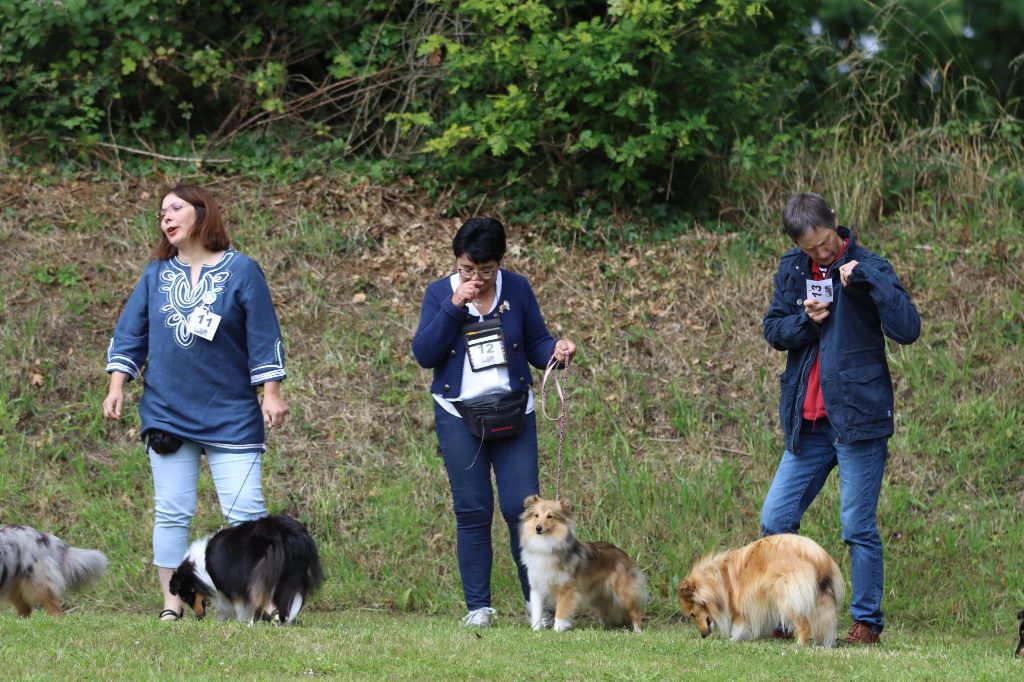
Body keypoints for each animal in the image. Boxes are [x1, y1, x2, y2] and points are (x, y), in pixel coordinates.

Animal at [166, 516, 323, 622]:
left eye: (186, 597)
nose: (199, 617)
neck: (198, 567)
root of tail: (285, 532)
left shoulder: (232, 584)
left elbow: (236, 606)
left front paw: (239, 622)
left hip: (262, 572)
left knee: (260, 601)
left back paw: (252, 624)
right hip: (291, 574)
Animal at [520, 493, 647, 630]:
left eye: (550, 516)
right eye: (536, 515)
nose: (538, 528)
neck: (545, 544)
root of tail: (623, 554)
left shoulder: (566, 589)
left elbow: (560, 613)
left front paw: (557, 630)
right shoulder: (536, 589)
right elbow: (537, 613)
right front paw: (535, 630)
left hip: (623, 593)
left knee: (635, 613)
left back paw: (638, 631)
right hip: (602, 596)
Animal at [679, 532, 839, 643]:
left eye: (692, 614)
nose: (702, 635)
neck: (719, 580)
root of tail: (816, 555)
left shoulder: (739, 603)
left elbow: (739, 625)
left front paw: (733, 639)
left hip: (787, 597)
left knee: (803, 624)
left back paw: (799, 645)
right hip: (819, 597)